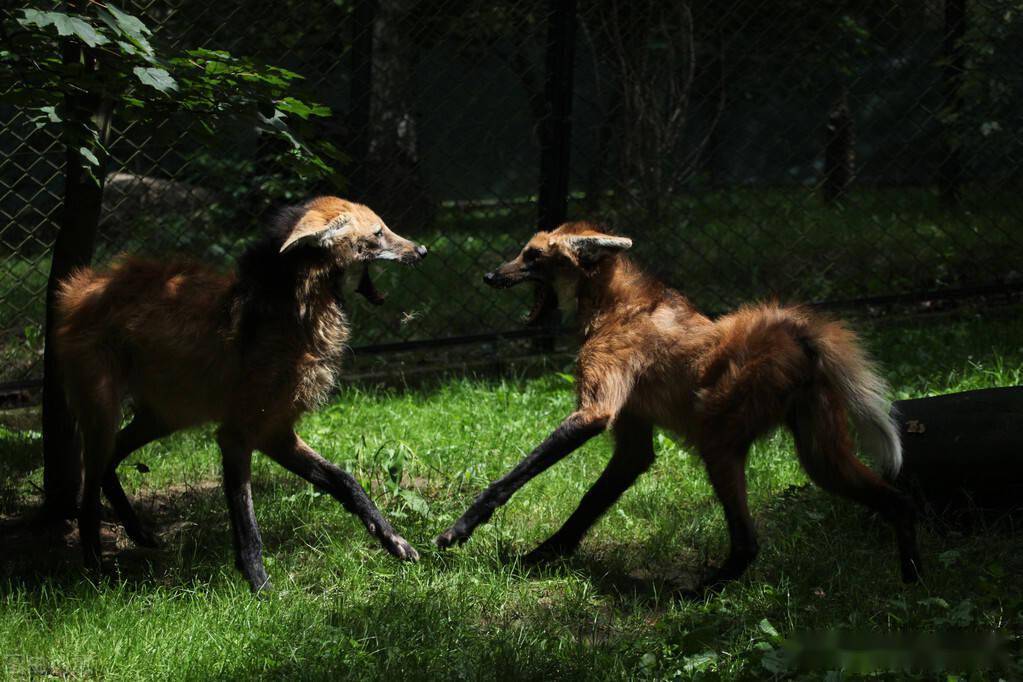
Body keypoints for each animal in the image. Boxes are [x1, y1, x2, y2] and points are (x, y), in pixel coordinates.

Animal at [52, 196, 427, 593]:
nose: (421, 250)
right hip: (106, 412)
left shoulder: (276, 431)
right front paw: (260, 585)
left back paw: (138, 533)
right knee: (89, 485)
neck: (294, 314)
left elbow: (346, 481)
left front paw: (394, 541)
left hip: (165, 415)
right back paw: (95, 568)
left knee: (110, 459)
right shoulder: (237, 435)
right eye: (378, 233)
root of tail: (80, 286)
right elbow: (247, 522)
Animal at [435, 222, 924, 593]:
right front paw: (542, 556)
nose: (489, 276)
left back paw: (700, 593)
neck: (613, 305)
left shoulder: (596, 411)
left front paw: (462, 528)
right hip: (822, 458)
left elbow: (510, 477)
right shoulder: (632, 437)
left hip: (720, 441)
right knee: (899, 501)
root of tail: (799, 331)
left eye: (531, 256)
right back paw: (914, 584)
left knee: (747, 541)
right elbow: (592, 500)